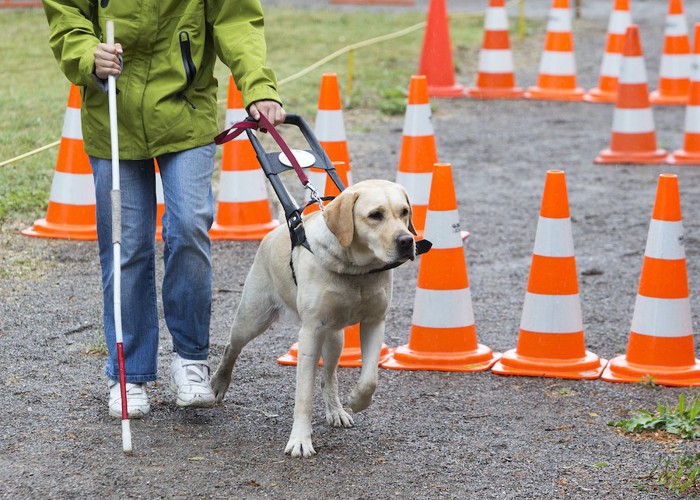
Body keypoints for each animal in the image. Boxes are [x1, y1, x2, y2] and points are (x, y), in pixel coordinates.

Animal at [208, 179, 416, 458]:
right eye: (375, 215)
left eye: (404, 212)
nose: (407, 240)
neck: (356, 270)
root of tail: (277, 230)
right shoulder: (310, 333)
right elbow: (304, 395)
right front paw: (299, 440)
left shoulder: (375, 322)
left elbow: (369, 379)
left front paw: (357, 401)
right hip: (252, 318)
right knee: (232, 347)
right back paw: (218, 383)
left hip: (335, 338)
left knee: (329, 377)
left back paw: (336, 410)